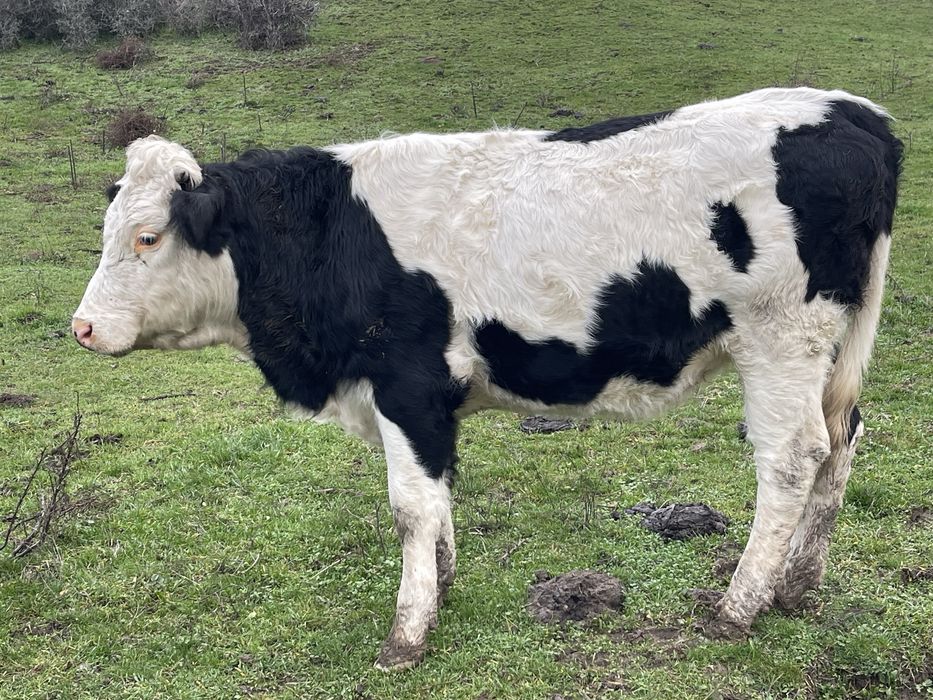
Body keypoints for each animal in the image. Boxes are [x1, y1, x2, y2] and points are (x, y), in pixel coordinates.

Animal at [72, 87, 902, 670]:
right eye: (109, 232)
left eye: (148, 237)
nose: (82, 327)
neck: (327, 233)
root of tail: (852, 112)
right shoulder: (414, 402)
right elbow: (436, 498)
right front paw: (440, 585)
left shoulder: (407, 383)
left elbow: (410, 507)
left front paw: (406, 635)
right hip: (828, 349)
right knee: (840, 438)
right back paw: (797, 588)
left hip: (778, 337)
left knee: (791, 458)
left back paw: (738, 606)